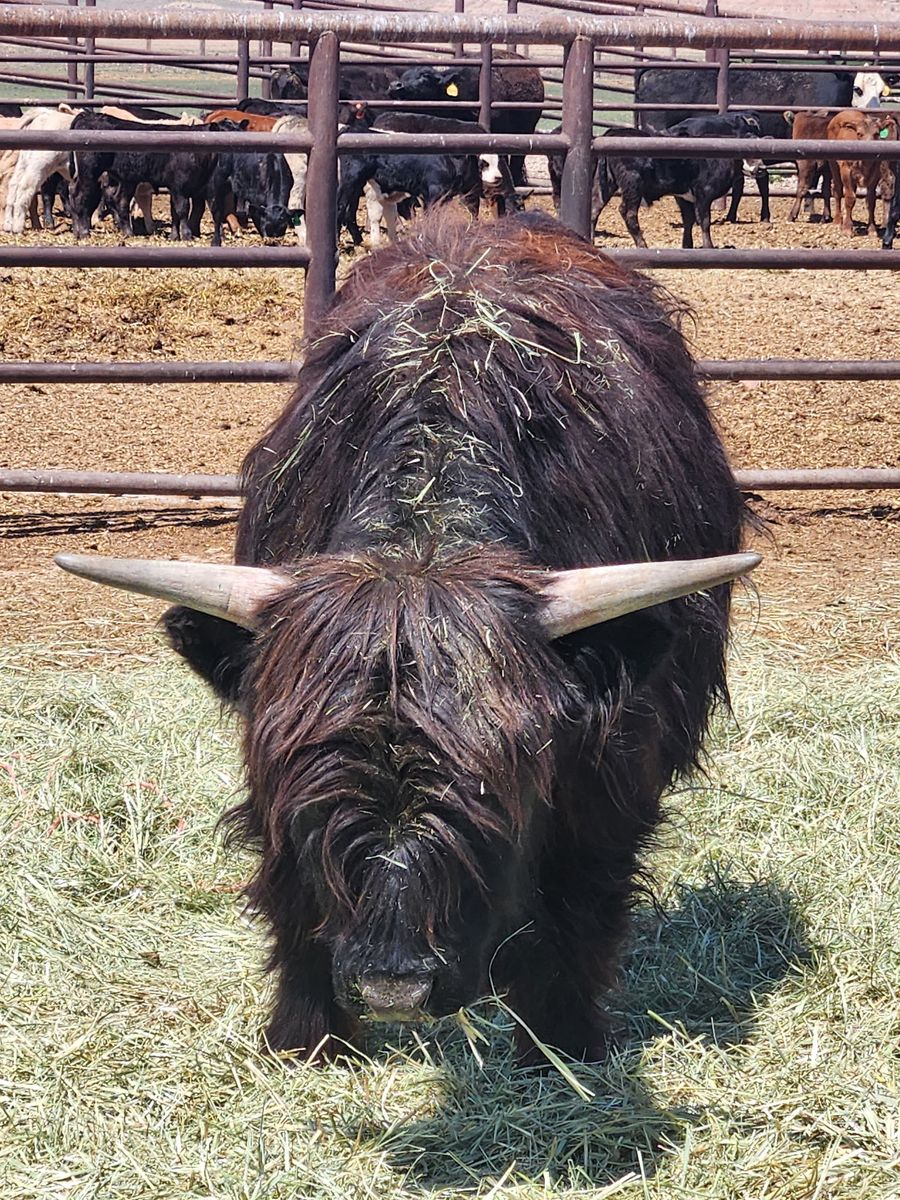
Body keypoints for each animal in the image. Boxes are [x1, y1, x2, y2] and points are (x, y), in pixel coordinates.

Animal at [57, 210, 758, 1065]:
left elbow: (579, 905)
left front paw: (562, 1044)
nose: (394, 987)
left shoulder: (614, 772)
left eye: (497, 785)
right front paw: (308, 1039)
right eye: (309, 781)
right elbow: (292, 896)